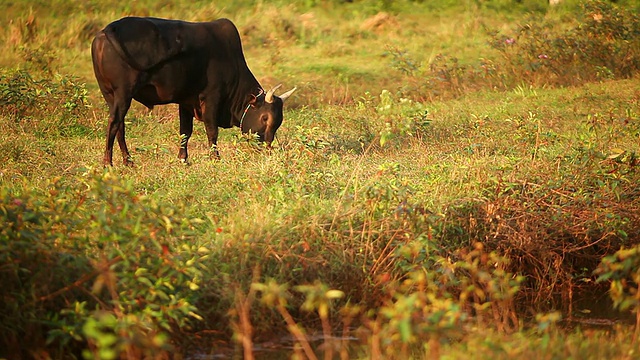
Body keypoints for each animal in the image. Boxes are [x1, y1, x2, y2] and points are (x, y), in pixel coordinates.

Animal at [90, 17, 296, 167]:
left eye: (278, 122)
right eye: (264, 118)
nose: (268, 147)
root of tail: (109, 29)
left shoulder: (186, 101)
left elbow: (185, 132)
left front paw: (183, 159)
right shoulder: (211, 98)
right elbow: (212, 131)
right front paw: (215, 158)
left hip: (110, 95)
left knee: (120, 126)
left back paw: (128, 161)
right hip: (123, 94)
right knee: (114, 123)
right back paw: (108, 163)